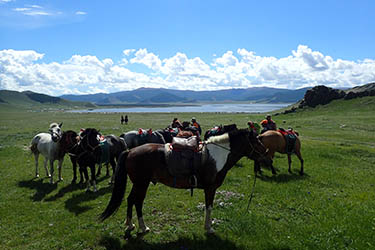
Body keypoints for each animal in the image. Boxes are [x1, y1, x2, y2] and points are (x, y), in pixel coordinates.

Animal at [100, 128, 274, 235]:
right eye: (256, 141)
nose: (267, 157)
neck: (219, 155)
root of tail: (130, 151)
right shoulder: (210, 188)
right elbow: (209, 207)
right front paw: (209, 228)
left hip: (138, 184)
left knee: (130, 200)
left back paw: (130, 224)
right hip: (141, 184)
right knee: (137, 202)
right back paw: (143, 227)